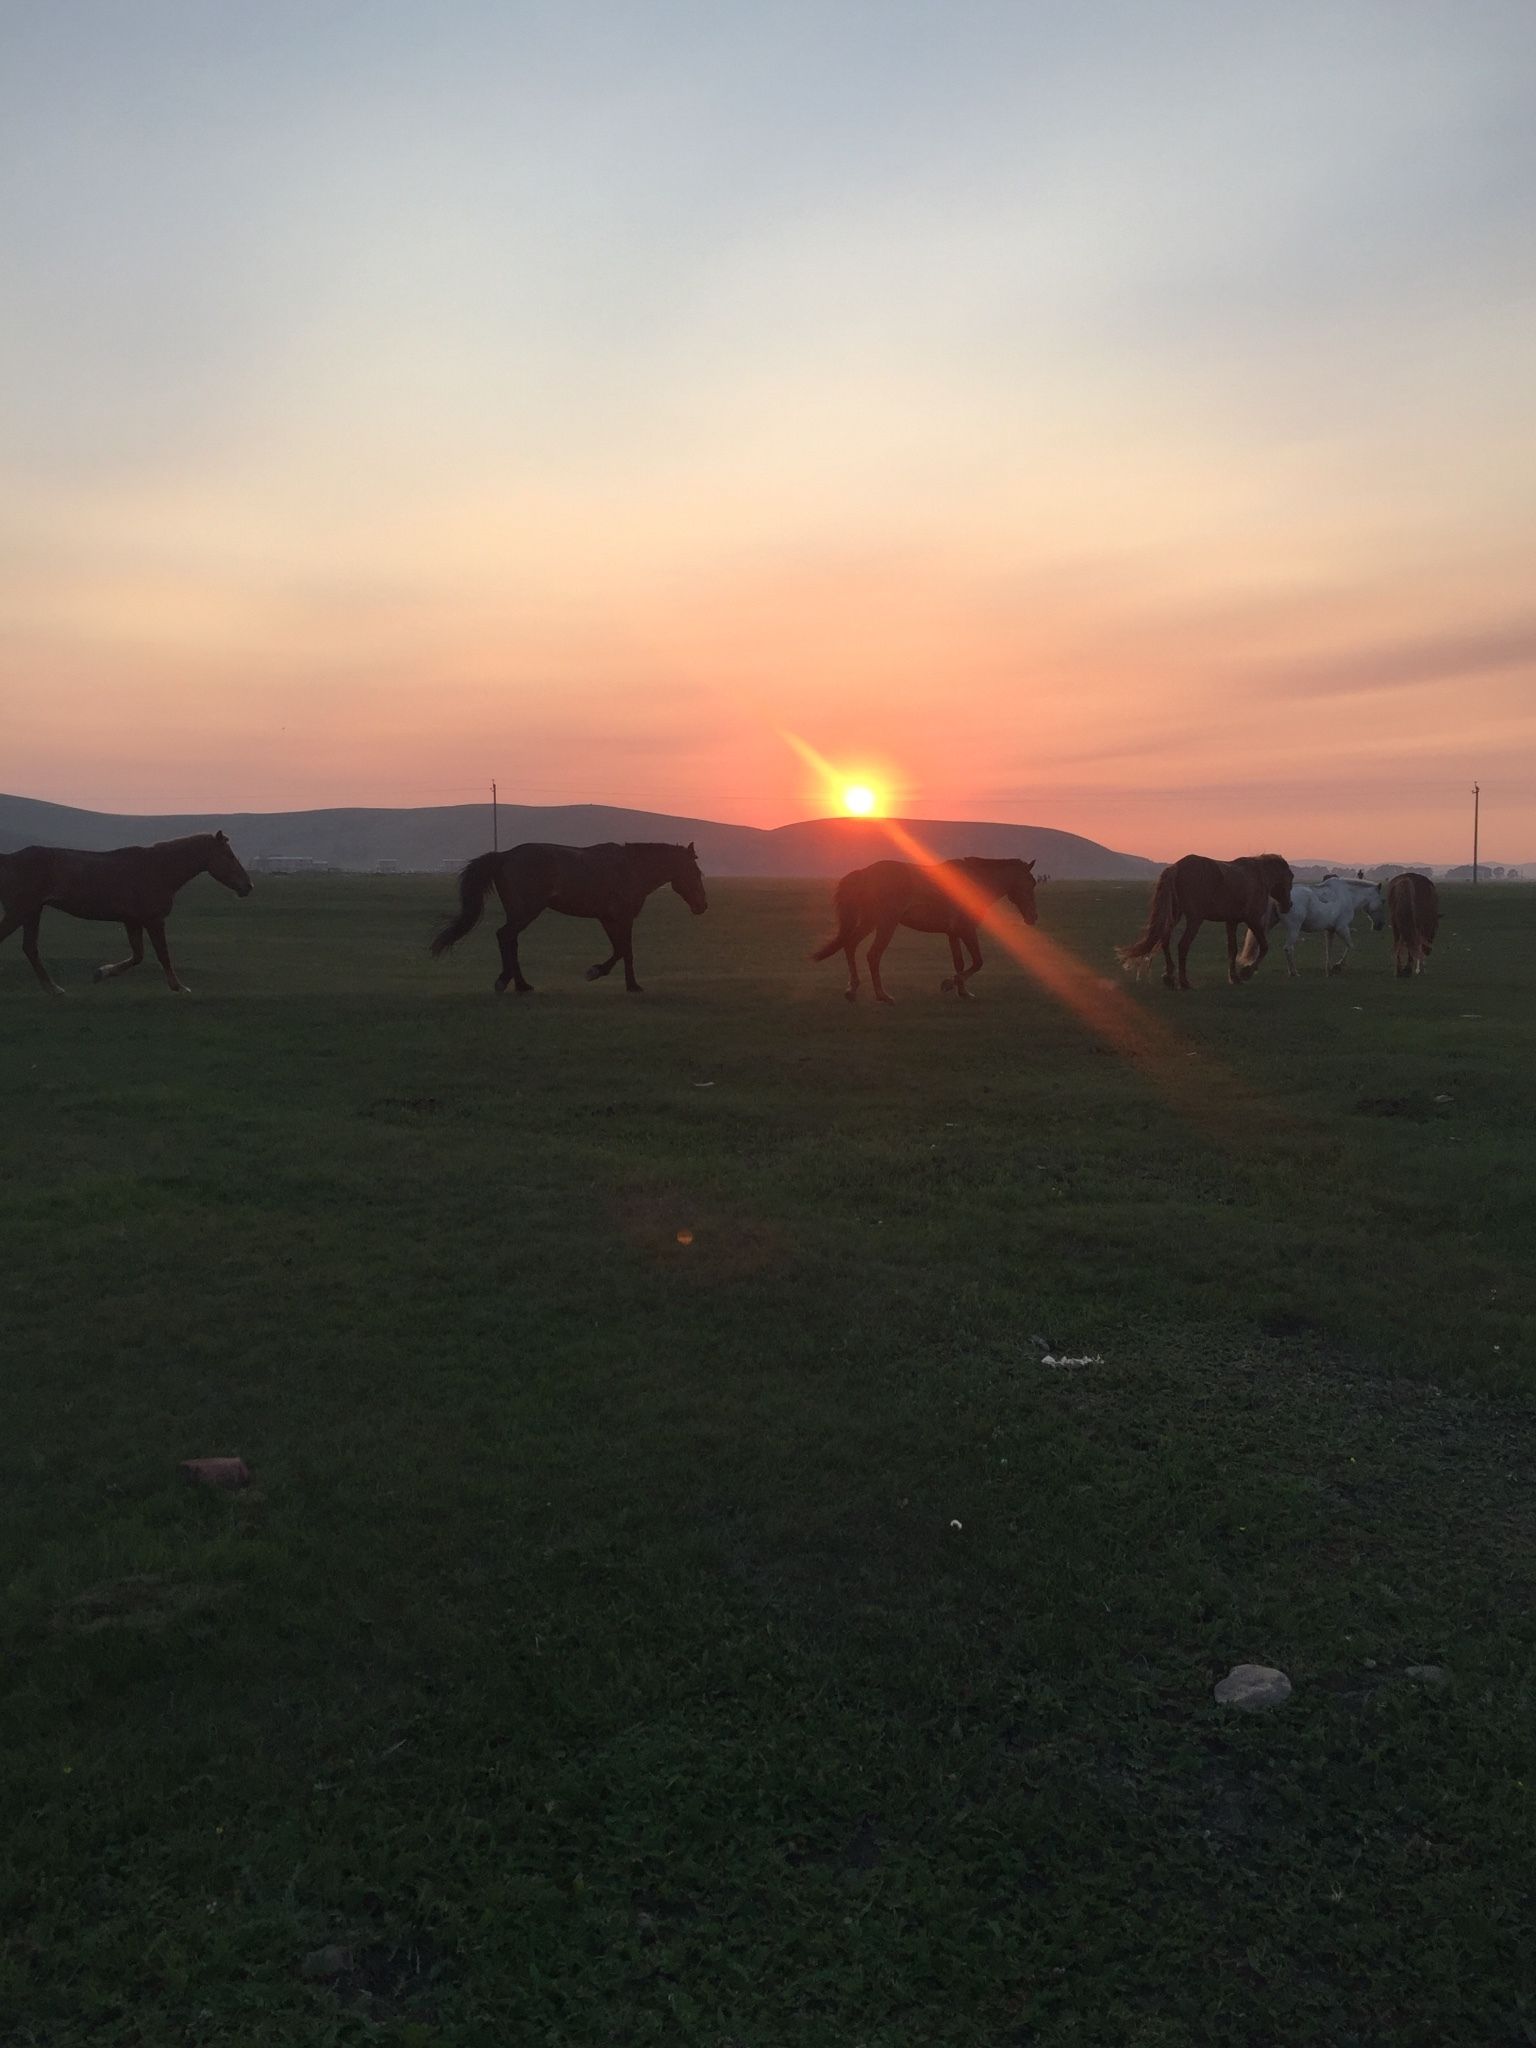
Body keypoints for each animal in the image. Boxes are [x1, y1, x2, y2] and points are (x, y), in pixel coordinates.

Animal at [0, 827, 253, 995]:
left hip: (32, 912)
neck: (159, 868)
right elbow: (163, 954)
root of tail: (9, 859)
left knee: (30, 948)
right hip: (20, 911)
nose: (248, 886)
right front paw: (179, 986)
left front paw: (101, 973)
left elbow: (138, 956)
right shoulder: (154, 920)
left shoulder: (132, 921)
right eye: (229, 855)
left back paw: (53, 989)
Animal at [434, 831, 708, 991]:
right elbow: (624, 951)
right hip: (525, 912)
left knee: (511, 941)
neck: (630, 867)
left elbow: (621, 950)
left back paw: (522, 984)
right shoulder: (622, 917)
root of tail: (504, 856)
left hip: (519, 914)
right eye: (695, 872)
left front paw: (625, 982)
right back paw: (506, 980)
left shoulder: (609, 919)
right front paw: (606, 976)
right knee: (504, 936)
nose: (702, 906)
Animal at [806, 851, 1048, 1003]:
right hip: (885, 924)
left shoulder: (953, 933)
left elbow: (960, 962)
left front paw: (963, 992)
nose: (1033, 917)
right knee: (873, 955)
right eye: (1030, 883)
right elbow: (978, 962)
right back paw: (883, 995)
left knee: (850, 945)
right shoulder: (967, 929)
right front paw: (949, 984)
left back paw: (853, 989)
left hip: (869, 921)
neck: (972, 883)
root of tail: (865, 873)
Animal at [1122, 851, 1294, 987]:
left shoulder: (1231, 922)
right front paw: (1246, 972)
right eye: (1291, 878)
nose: (1288, 905)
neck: (1258, 876)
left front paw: (1234, 977)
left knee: (1165, 940)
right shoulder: (1252, 919)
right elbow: (1264, 946)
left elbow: (1232, 949)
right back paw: (1184, 982)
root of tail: (1177, 867)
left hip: (1175, 915)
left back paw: (1169, 977)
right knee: (1182, 945)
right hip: (1194, 920)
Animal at [1245, 876, 1392, 978]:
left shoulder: (1330, 930)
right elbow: (1350, 946)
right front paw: (1338, 966)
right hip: (1294, 929)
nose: (1380, 925)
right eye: (1383, 900)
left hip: (1269, 926)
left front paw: (1329, 970)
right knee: (1288, 948)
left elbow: (1328, 950)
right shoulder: (1342, 928)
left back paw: (1253, 968)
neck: (1348, 896)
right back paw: (1294, 972)